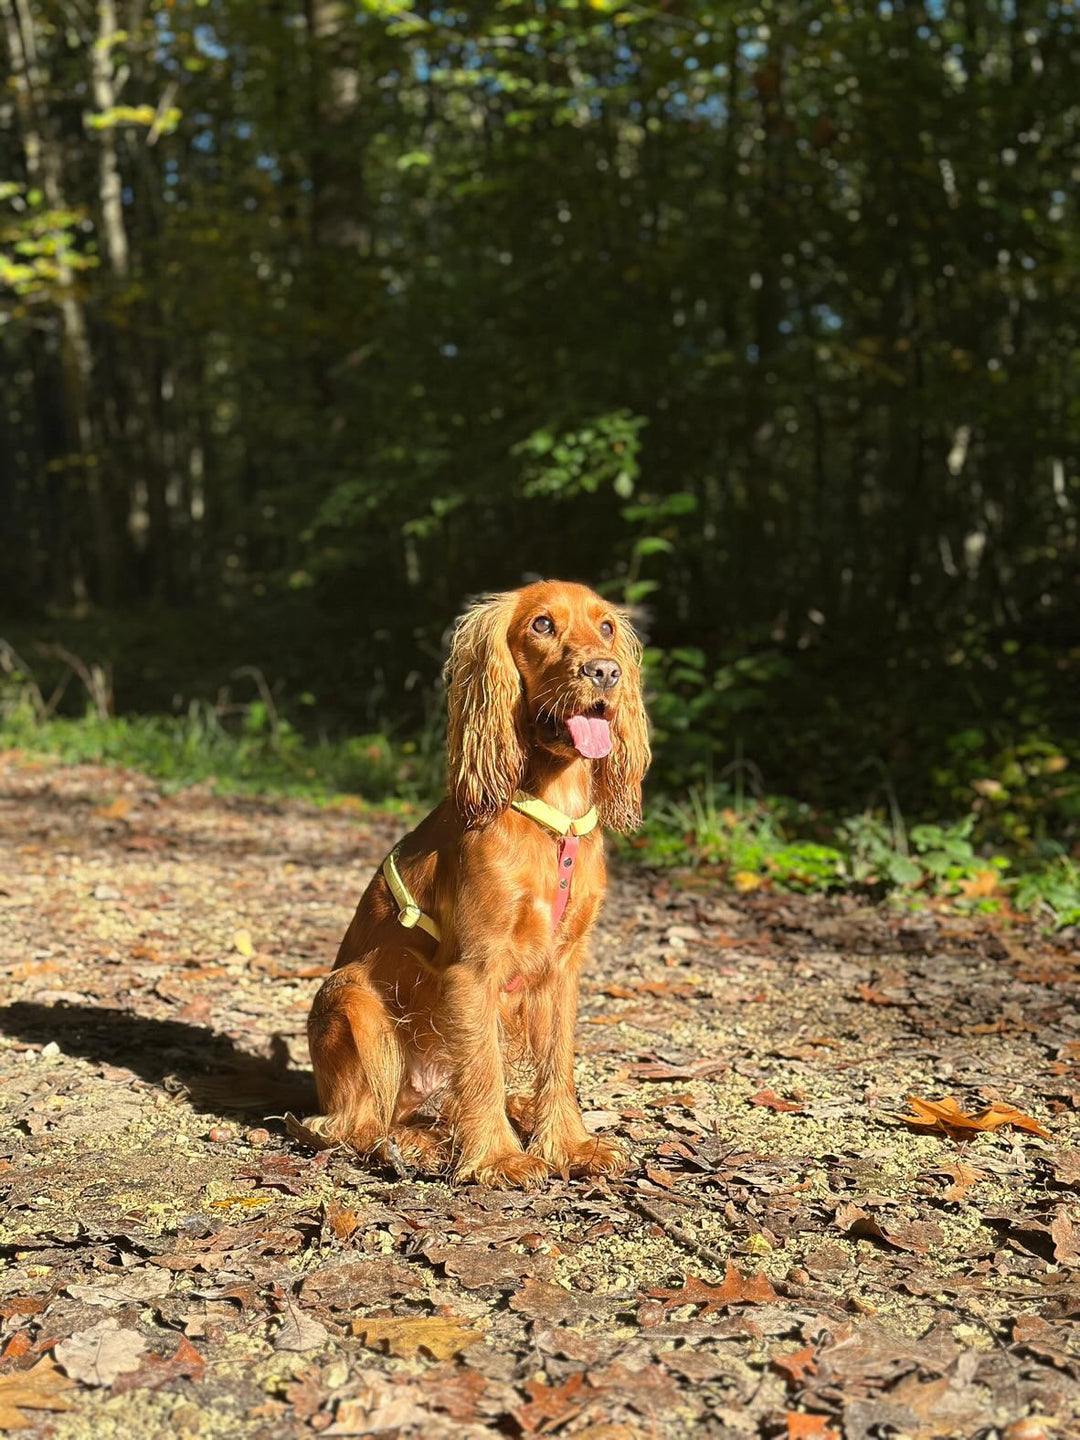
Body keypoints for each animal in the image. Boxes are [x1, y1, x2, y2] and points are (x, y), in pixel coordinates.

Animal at [306, 578, 650, 1186]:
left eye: (606, 626)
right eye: (542, 624)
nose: (605, 672)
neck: (554, 818)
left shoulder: (562, 969)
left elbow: (558, 1065)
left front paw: (569, 1145)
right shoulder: (473, 968)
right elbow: (483, 1069)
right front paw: (498, 1159)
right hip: (352, 999)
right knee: (347, 1125)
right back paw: (409, 1147)